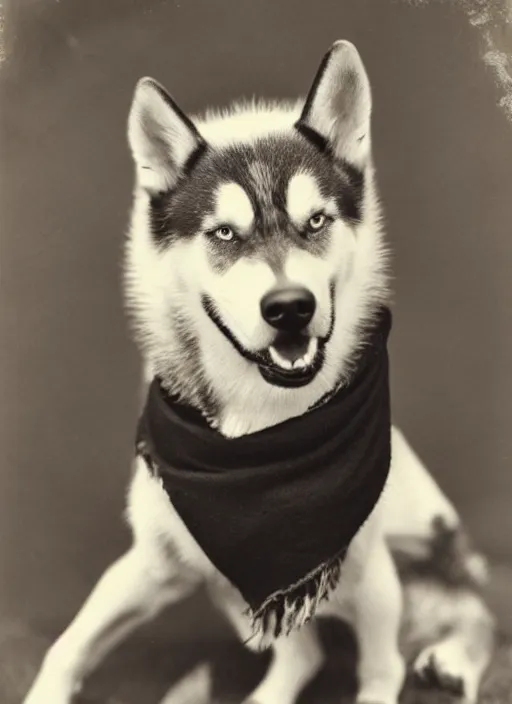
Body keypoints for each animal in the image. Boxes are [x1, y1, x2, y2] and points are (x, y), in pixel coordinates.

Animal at [25, 42, 496, 704]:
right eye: (225, 233)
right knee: (306, 651)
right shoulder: (156, 563)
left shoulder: (371, 578)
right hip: (231, 590)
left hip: (415, 559)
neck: (261, 432)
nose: (290, 307)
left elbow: (381, 673)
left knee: (472, 617)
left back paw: (455, 657)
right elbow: (68, 645)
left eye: (316, 222)